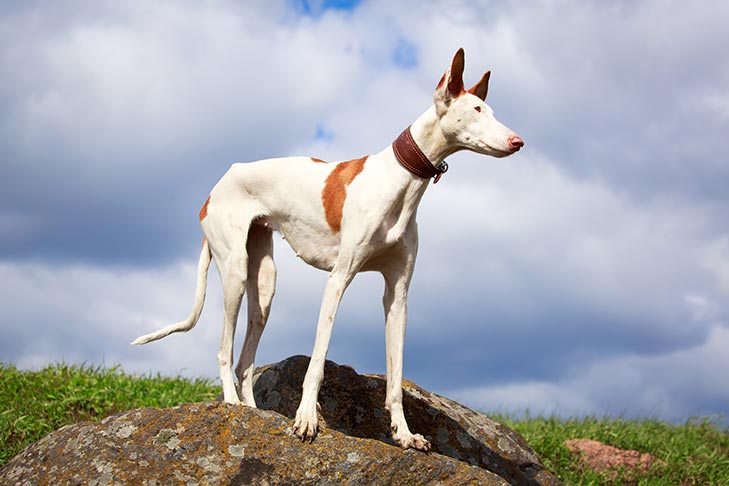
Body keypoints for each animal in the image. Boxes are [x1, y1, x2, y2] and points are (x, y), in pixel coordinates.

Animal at [132, 47, 524, 450]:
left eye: (491, 110)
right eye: (476, 110)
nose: (517, 141)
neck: (400, 180)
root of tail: (215, 188)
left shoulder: (397, 295)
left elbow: (396, 378)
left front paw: (404, 433)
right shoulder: (338, 279)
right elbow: (318, 360)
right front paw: (306, 418)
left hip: (265, 283)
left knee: (245, 363)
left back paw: (253, 410)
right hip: (234, 271)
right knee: (225, 353)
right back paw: (231, 405)